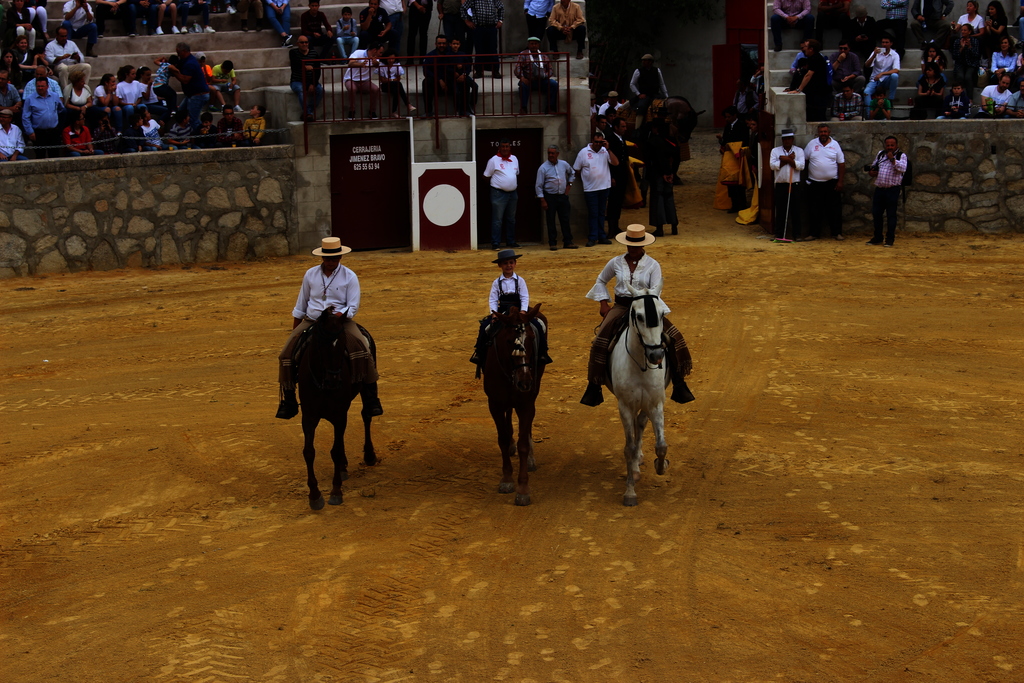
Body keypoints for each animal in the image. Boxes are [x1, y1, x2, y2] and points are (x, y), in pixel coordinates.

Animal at [299, 307, 378, 509]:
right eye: (321, 343)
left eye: (343, 343)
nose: (334, 380)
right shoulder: (309, 416)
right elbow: (309, 452)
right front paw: (315, 496)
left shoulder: (339, 413)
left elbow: (334, 451)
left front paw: (336, 492)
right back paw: (343, 467)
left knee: (366, 415)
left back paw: (369, 455)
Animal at [479, 305, 544, 507]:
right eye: (508, 341)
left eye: (531, 338)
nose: (524, 382)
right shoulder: (494, 404)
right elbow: (502, 439)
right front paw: (506, 480)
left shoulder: (526, 403)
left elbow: (523, 444)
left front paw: (523, 489)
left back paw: (530, 458)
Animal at [606, 284, 671, 507]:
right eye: (639, 316)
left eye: (661, 314)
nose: (656, 355)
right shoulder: (625, 405)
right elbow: (628, 447)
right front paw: (630, 492)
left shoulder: (656, 402)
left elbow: (661, 445)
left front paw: (661, 466)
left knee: (640, 424)